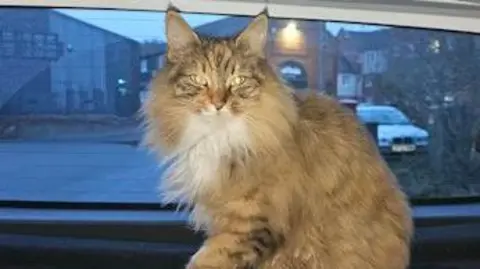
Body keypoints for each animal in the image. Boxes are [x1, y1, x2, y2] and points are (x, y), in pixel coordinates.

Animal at [143, 8, 412, 268]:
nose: (219, 104)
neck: (220, 138)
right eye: (198, 80)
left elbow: (208, 261)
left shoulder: (249, 223)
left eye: (238, 81)